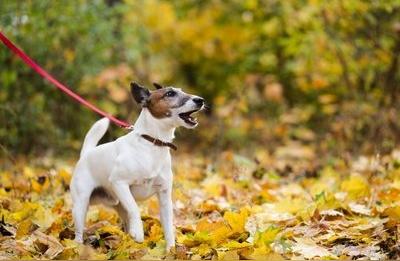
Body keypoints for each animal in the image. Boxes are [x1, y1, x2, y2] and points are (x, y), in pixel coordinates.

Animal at [70, 82, 205, 249]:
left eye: (182, 91)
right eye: (170, 94)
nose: (200, 100)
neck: (152, 143)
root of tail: (86, 154)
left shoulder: (164, 196)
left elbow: (168, 227)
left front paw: (171, 250)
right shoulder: (119, 183)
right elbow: (135, 208)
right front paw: (139, 232)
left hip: (118, 204)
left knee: (126, 221)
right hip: (81, 204)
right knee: (79, 230)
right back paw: (77, 246)